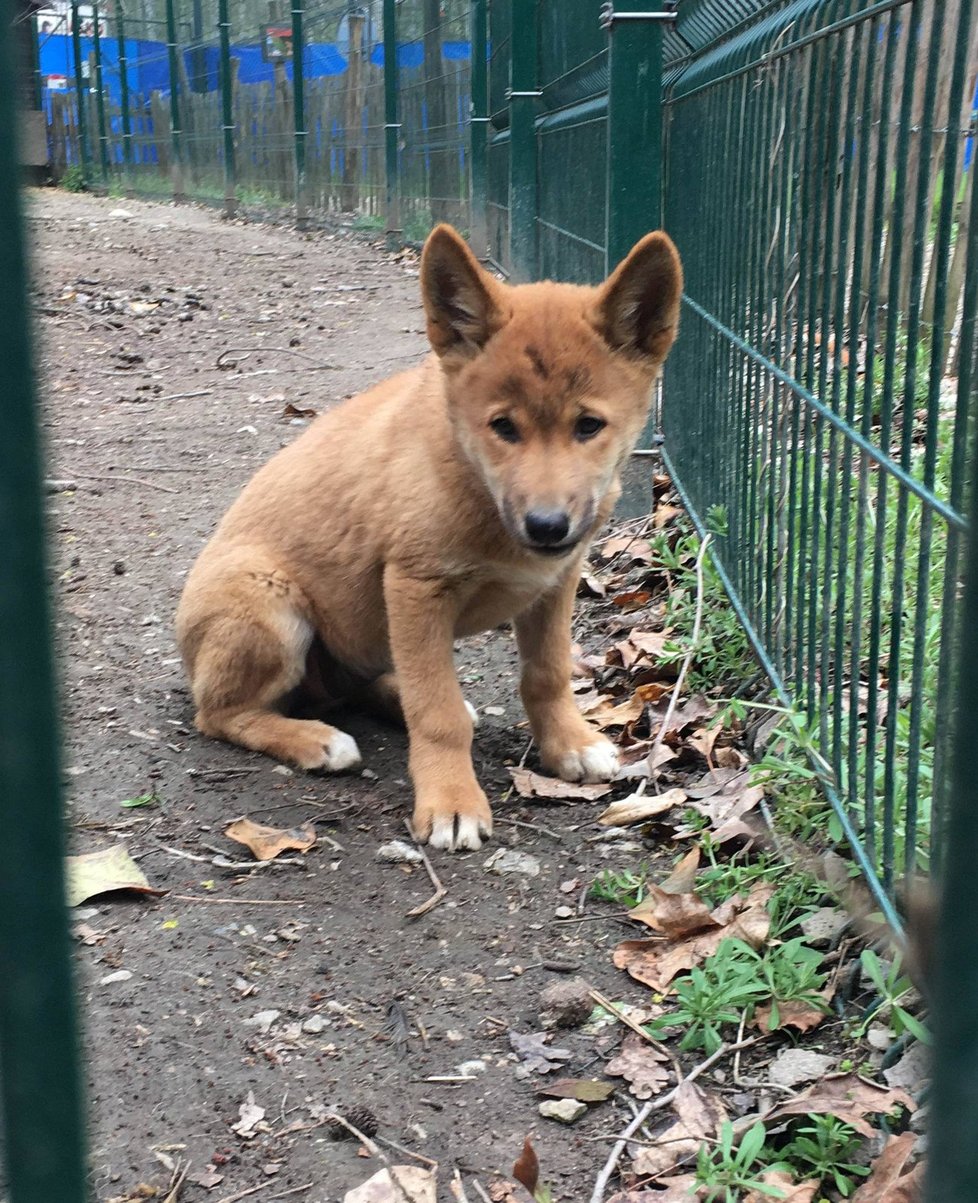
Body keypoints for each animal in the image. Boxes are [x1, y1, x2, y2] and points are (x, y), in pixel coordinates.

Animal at [175, 223, 678, 846]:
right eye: (502, 427)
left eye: (589, 426)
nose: (546, 526)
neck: (472, 477)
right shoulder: (418, 588)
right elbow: (435, 713)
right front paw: (451, 800)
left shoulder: (556, 581)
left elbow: (548, 674)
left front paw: (569, 745)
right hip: (268, 604)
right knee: (220, 713)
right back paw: (316, 739)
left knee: (355, 687)